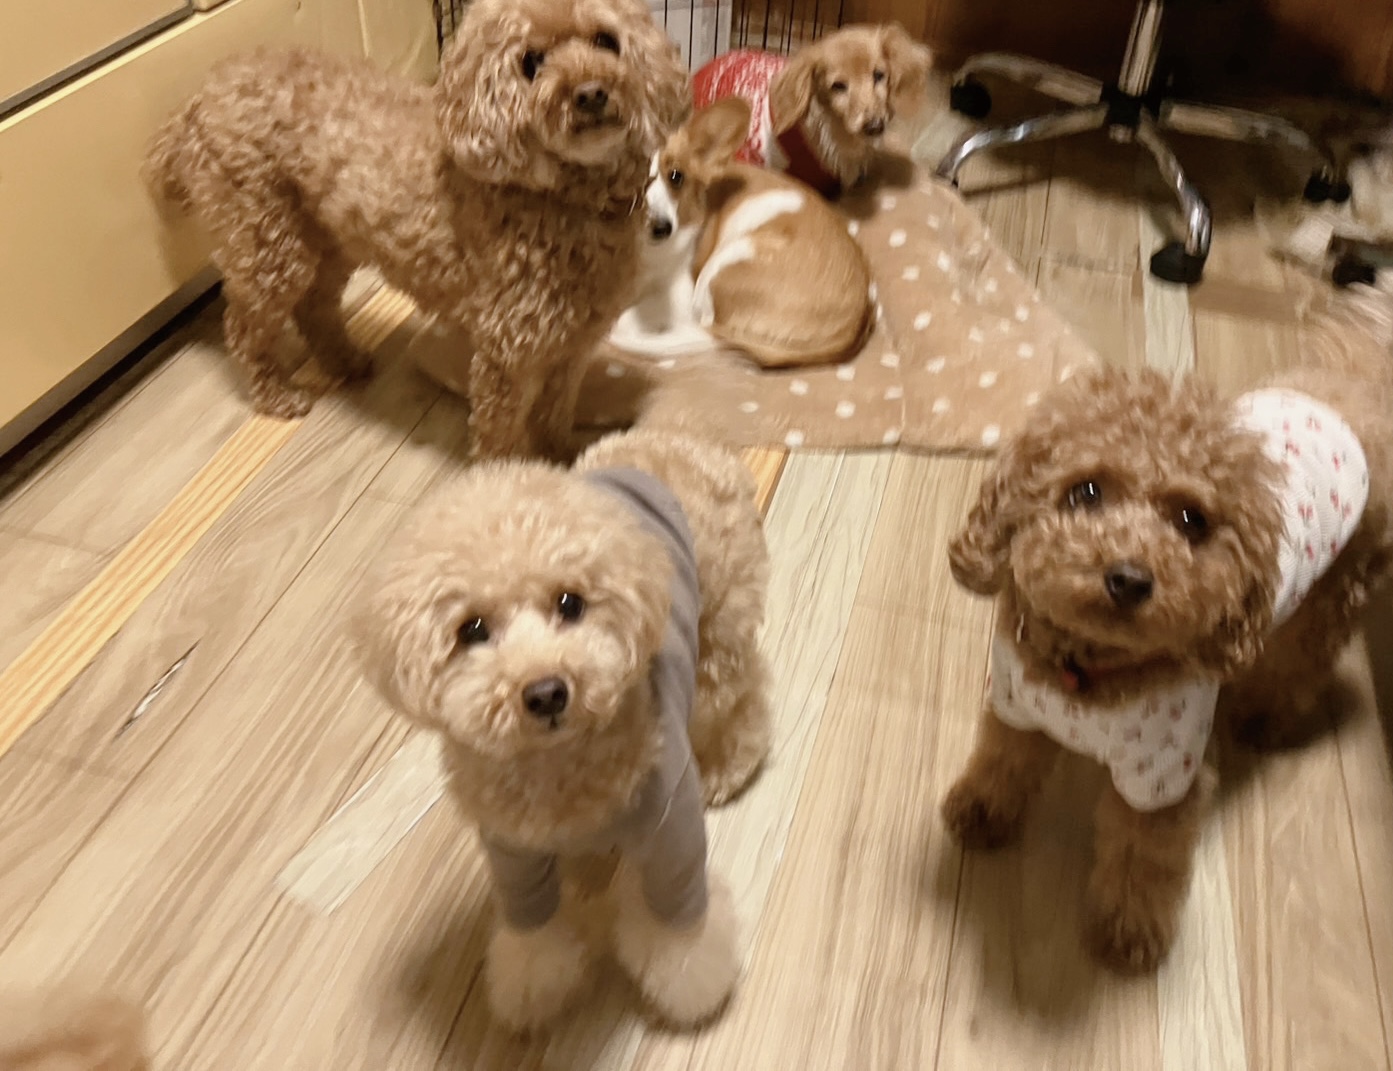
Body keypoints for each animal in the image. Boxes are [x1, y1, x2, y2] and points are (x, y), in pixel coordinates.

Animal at [144, 0, 689, 460]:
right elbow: (500, 433)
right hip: (268, 243)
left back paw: (345, 362)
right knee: (243, 327)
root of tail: (196, 101)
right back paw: (276, 394)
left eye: (606, 41)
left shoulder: (571, 345)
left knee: (314, 308)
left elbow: (557, 412)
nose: (592, 94)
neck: (564, 197)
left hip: (330, 242)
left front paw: (560, 460)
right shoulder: (509, 352)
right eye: (531, 62)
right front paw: (509, 477)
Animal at [352, 427, 771, 1029]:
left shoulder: (671, 830)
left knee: (742, 697)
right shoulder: (511, 852)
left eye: (569, 603)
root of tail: (683, 440)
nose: (547, 692)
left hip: (720, 627)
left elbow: (679, 928)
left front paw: (690, 990)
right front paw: (533, 989)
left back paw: (726, 766)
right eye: (471, 629)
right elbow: (534, 931)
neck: (558, 769)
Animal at [608, 97, 874, 368]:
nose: (662, 229)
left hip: (721, 267)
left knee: (702, 326)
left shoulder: (678, 293)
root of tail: (852, 329)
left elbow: (633, 314)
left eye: (676, 177)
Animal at [938, 283, 1393, 972]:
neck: (1089, 672)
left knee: (1298, 665)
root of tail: (1359, 387)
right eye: (1086, 492)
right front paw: (982, 812)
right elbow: (1002, 760)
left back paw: (1263, 718)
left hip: (1334, 594)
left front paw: (1128, 932)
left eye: (1190, 521)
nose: (1128, 579)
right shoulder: (1018, 705)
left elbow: (1140, 855)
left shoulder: (1161, 776)